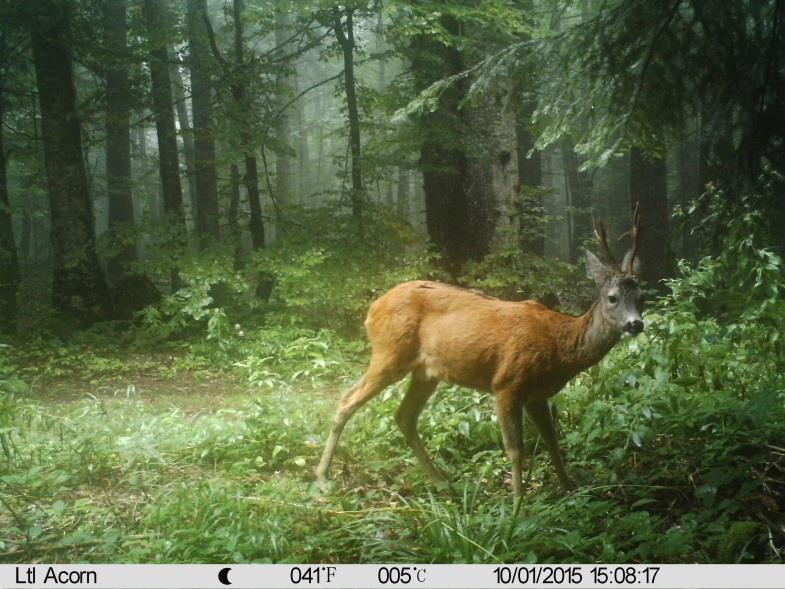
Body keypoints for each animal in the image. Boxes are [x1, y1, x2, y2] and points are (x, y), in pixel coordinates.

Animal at [316, 204, 640, 494]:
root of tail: (373, 308)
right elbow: (515, 449)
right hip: (390, 353)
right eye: (612, 297)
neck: (561, 344)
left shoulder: (537, 394)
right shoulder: (507, 383)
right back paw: (322, 478)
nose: (636, 323)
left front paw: (570, 488)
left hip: (425, 372)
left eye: (641, 294)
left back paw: (441, 482)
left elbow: (552, 440)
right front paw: (519, 507)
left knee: (404, 416)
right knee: (346, 401)